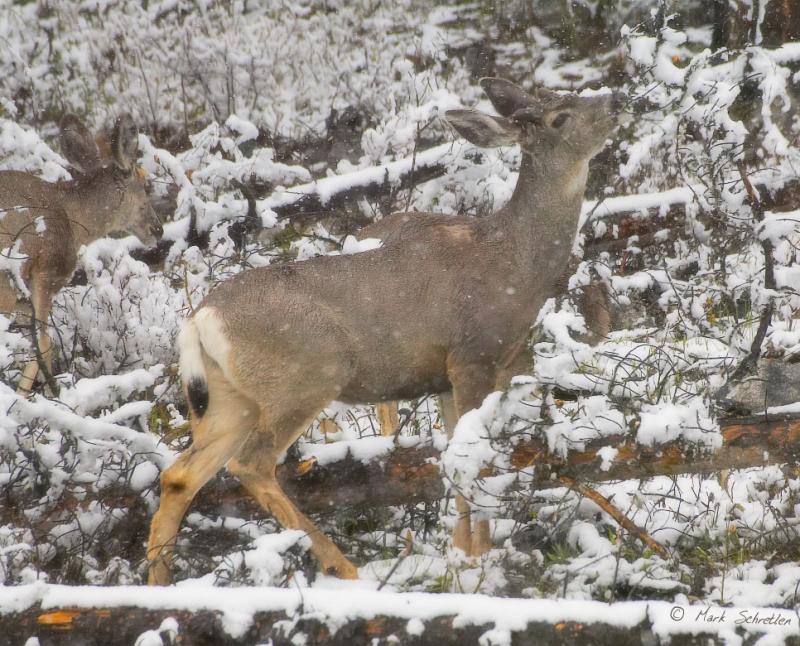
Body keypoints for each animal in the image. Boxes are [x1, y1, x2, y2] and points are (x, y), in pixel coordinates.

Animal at [148, 78, 624, 584]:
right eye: (560, 117)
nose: (614, 99)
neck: (515, 262)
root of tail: (201, 319)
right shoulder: (473, 355)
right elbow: (473, 458)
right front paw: (479, 561)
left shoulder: (446, 376)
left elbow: (454, 456)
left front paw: (462, 555)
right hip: (308, 373)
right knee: (252, 464)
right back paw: (344, 567)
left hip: (228, 399)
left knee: (179, 475)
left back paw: (158, 582)